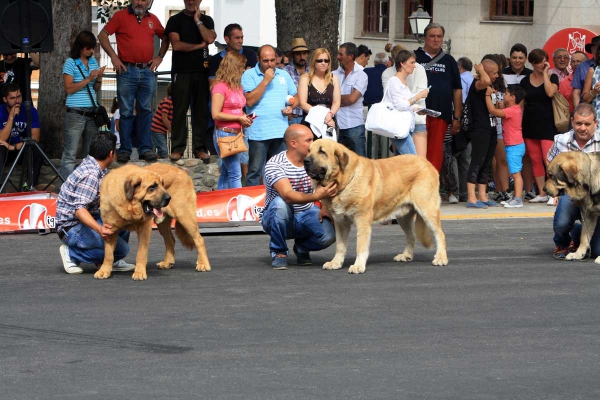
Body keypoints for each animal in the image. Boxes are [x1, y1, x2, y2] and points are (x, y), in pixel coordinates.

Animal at [304, 139, 446, 274]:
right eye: (309, 150)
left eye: (322, 151)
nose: (305, 161)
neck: (346, 180)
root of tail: (428, 163)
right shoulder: (340, 222)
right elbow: (340, 246)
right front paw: (336, 263)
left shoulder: (362, 221)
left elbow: (360, 246)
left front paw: (358, 266)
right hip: (403, 217)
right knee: (411, 235)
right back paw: (406, 255)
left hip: (427, 210)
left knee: (440, 234)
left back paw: (441, 258)